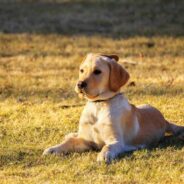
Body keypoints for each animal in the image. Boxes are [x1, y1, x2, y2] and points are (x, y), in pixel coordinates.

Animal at [43, 52, 184, 162]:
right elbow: (69, 142)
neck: (99, 104)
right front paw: (53, 149)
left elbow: (108, 146)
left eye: (97, 72)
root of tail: (164, 120)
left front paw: (104, 155)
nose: (80, 84)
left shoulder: (116, 141)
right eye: (81, 70)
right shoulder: (86, 140)